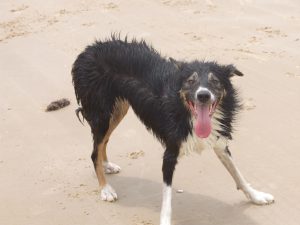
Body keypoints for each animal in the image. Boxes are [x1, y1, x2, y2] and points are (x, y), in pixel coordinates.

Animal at [72, 36, 274, 225]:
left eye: (215, 81)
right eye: (190, 81)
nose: (203, 95)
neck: (185, 110)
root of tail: (88, 50)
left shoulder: (218, 140)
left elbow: (237, 173)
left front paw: (256, 196)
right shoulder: (170, 151)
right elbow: (167, 197)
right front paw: (165, 220)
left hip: (119, 109)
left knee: (103, 142)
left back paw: (106, 164)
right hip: (101, 112)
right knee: (94, 151)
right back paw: (105, 189)